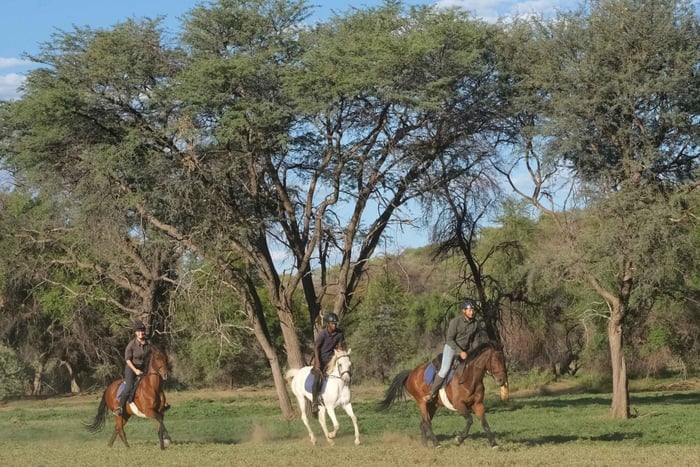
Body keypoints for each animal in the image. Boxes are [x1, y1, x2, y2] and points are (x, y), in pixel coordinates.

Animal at [379, 343, 509, 448]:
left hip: (432, 405)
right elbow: (470, 420)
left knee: (423, 424)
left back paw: (425, 445)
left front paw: (494, 444)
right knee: (427, 422)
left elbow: (484, 423)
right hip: (421, 402)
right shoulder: (459, 405)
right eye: (495, 360)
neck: (470, 379)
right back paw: (436, 444)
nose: (502, 380)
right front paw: (459, 439)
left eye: (504, 360)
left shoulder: (478, 404)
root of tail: (411, 373)